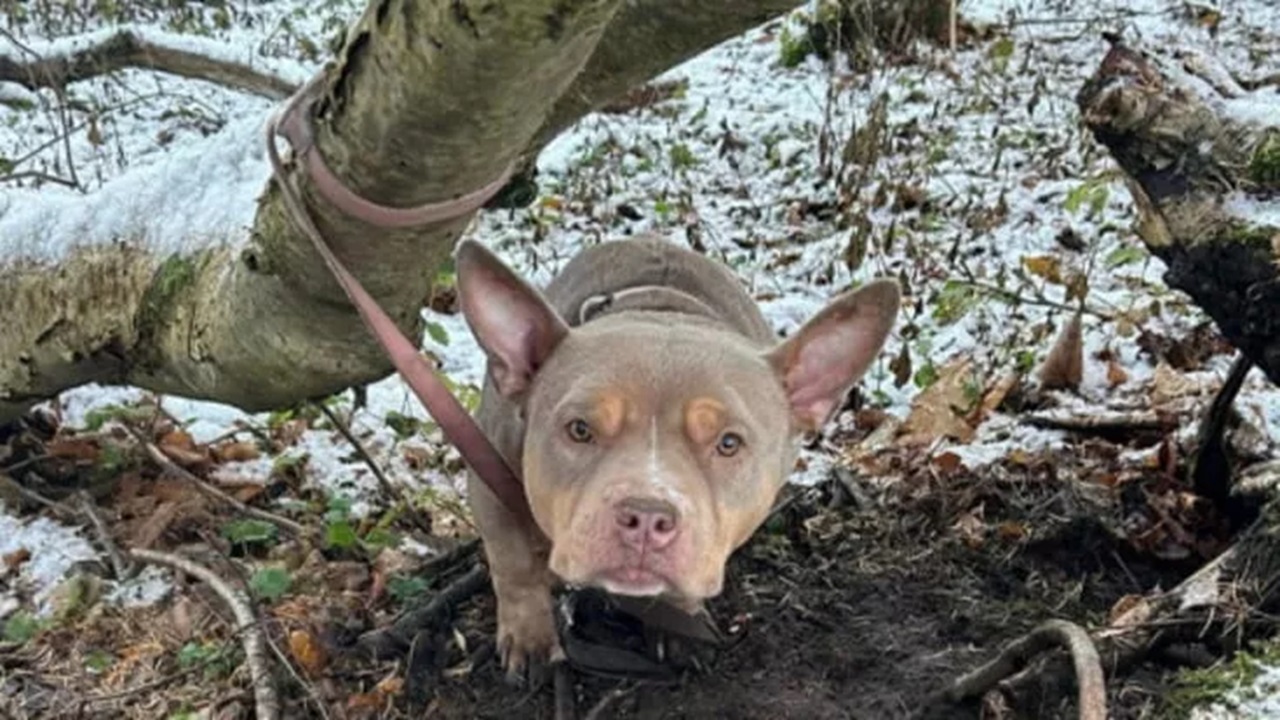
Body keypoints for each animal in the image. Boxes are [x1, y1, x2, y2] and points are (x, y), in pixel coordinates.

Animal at [453, 233, 901, 676]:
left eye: (728, 443)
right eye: (580, 430)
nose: (647, 517)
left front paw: (678, 620)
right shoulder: (487, 475)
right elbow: (514, 563)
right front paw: (529, 637)